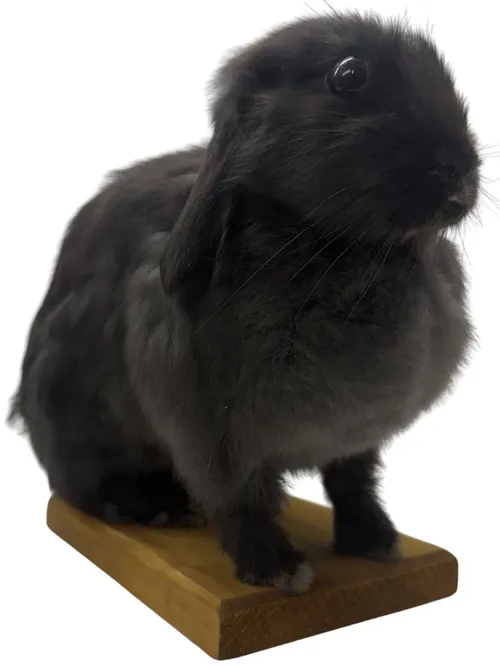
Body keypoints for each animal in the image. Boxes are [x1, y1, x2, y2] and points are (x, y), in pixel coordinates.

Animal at [9, 13, 480, 595]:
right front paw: (276, 568)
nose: (459, 172)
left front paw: (375, 541)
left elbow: (352, 482)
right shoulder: (207, 432)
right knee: (79, 486)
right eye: (349, 75)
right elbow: (239, 503)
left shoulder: (357, 435)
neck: (340, 247)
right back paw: (153, 505)